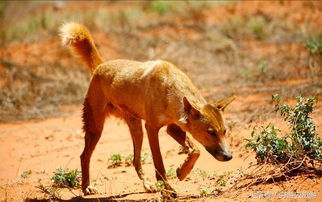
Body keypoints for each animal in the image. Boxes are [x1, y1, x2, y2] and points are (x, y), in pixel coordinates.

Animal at [59, 22, 234, 197]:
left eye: (224, 131)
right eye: (211, 132)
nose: (229, 156)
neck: (170, 88)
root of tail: (101, 66)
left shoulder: (173, 128)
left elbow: (195, 151)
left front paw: (182, 172)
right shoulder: (152, 128)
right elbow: (160, 164)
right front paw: (167, 189)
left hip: (136, 130)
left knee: (135, 161)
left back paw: (148, 184)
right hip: (96, 129)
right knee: (84, 156)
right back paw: (86, 187)